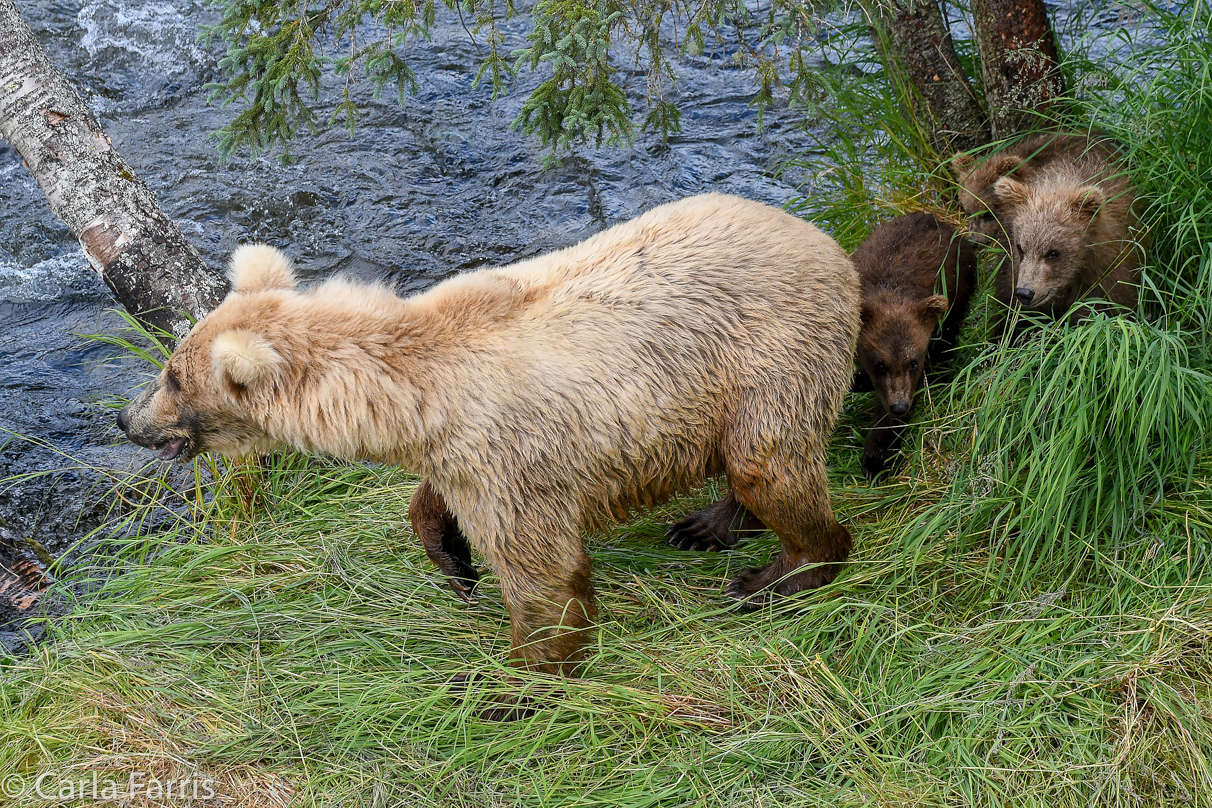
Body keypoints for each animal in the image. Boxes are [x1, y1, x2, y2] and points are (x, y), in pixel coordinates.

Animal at [118, 193, 862, 678]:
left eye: (172, 376)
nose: (127, 419)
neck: (411, 401)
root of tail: (826, 242)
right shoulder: (464, 453)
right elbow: (435, 502)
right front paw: (453, 562)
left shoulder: (510, 459)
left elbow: (542, 573)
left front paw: (512, 681)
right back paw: (706, 525)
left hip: (768, 356)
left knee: (768, 464)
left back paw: (775, 575)